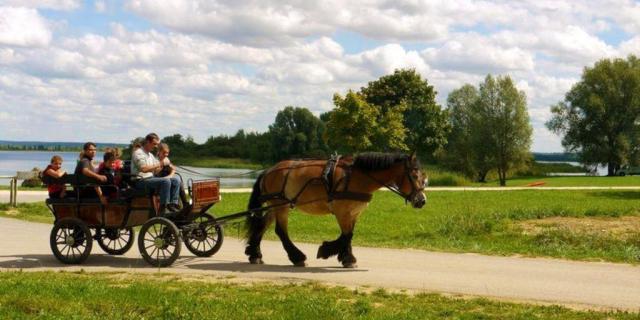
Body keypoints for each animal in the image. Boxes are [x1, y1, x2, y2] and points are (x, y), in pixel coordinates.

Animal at [242, 152, 428, 268]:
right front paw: (330, 251)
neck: (356, 177)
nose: (422, 201)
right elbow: (346, 235)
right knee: (281, 231)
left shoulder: (353, 213)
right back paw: (297, 257)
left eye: (423, 176)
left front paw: (345, 257)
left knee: (262, 225)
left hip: (276, 205)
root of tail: (269, 170)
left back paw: (255, 254)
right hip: (281, 205)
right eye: (414, 175)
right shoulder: (342, 212)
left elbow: (348, 235)